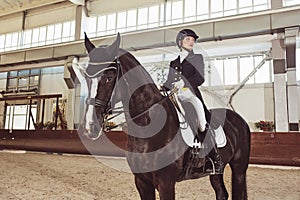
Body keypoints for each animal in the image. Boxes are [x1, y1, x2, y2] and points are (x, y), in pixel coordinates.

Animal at [80, 33, 251, 199]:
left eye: (108, 78)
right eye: (86, 79)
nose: (90, 127)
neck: (147, 128)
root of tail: (239, 119)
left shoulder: (165, 183)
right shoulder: (142, 182)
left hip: (239, 169)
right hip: (216, 172)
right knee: (221, 193)